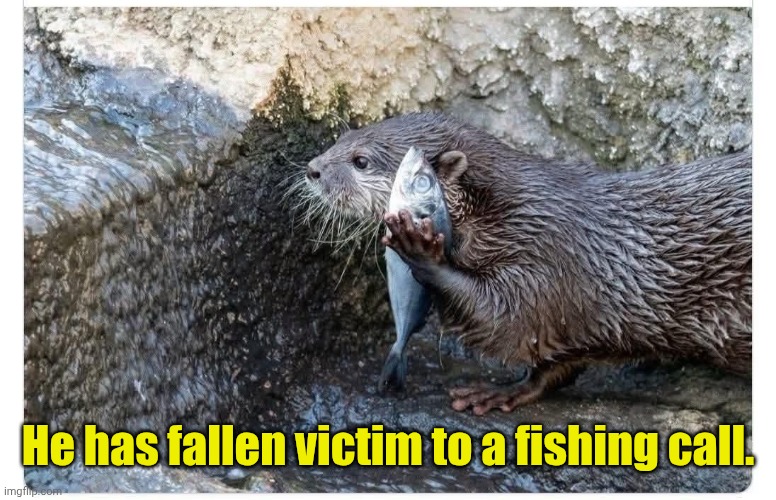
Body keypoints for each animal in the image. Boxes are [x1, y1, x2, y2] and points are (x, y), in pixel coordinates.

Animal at [305, 112, 751, 415]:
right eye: (344, 137)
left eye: (361, 160)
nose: (312, 169)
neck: (507, 215)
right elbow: (552, 358)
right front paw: (504, 391)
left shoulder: (545, 258)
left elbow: (506, 321)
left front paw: (419, 249)